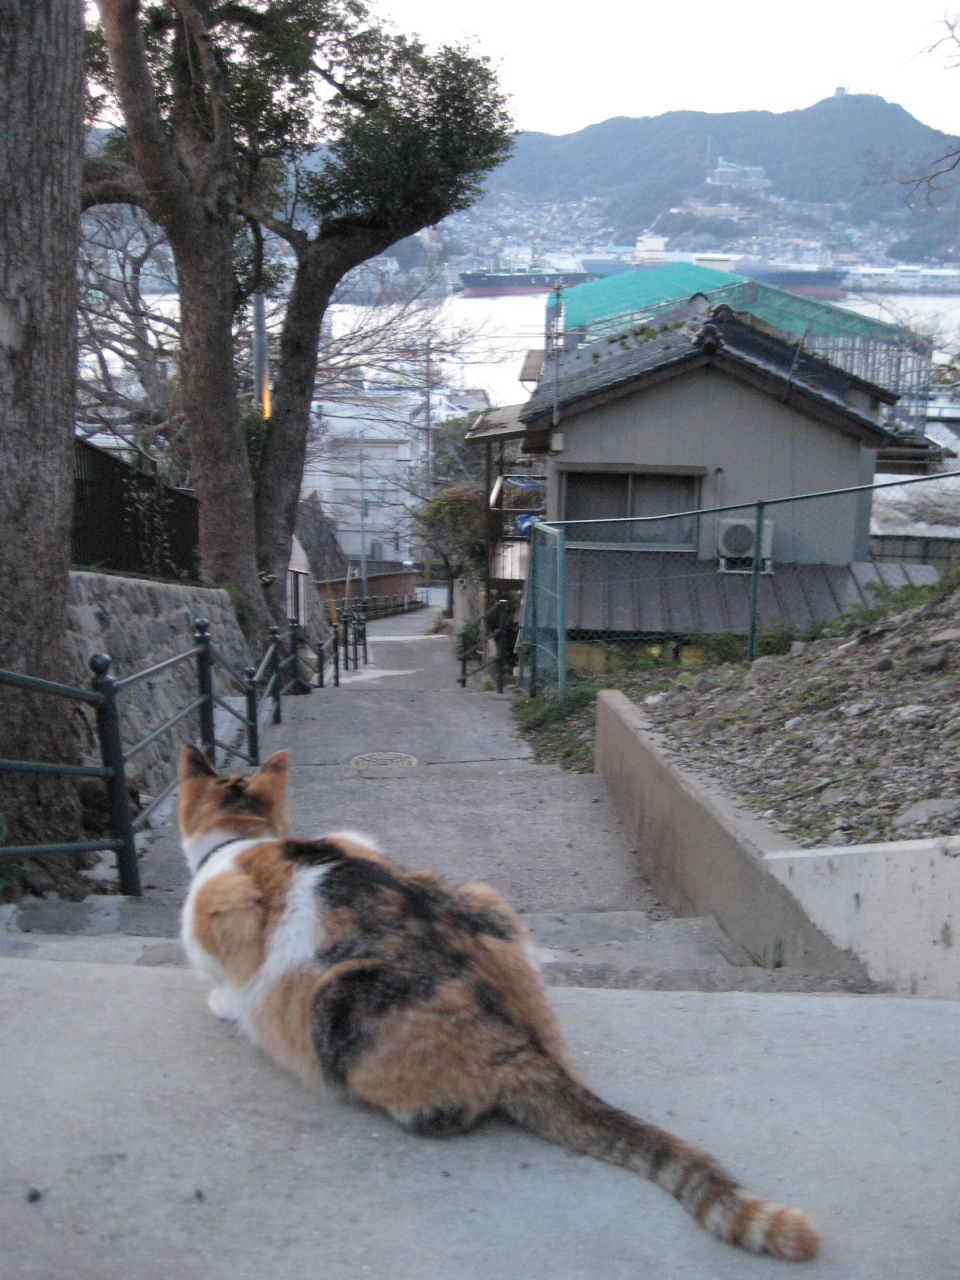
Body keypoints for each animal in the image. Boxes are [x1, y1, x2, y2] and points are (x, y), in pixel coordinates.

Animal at [179, 742, 819, 1259]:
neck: (247, 838)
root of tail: (525, 1045)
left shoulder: (225, 911)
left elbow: (229, 974)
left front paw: (224, 1002)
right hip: (481, 893)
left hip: (342, 996)